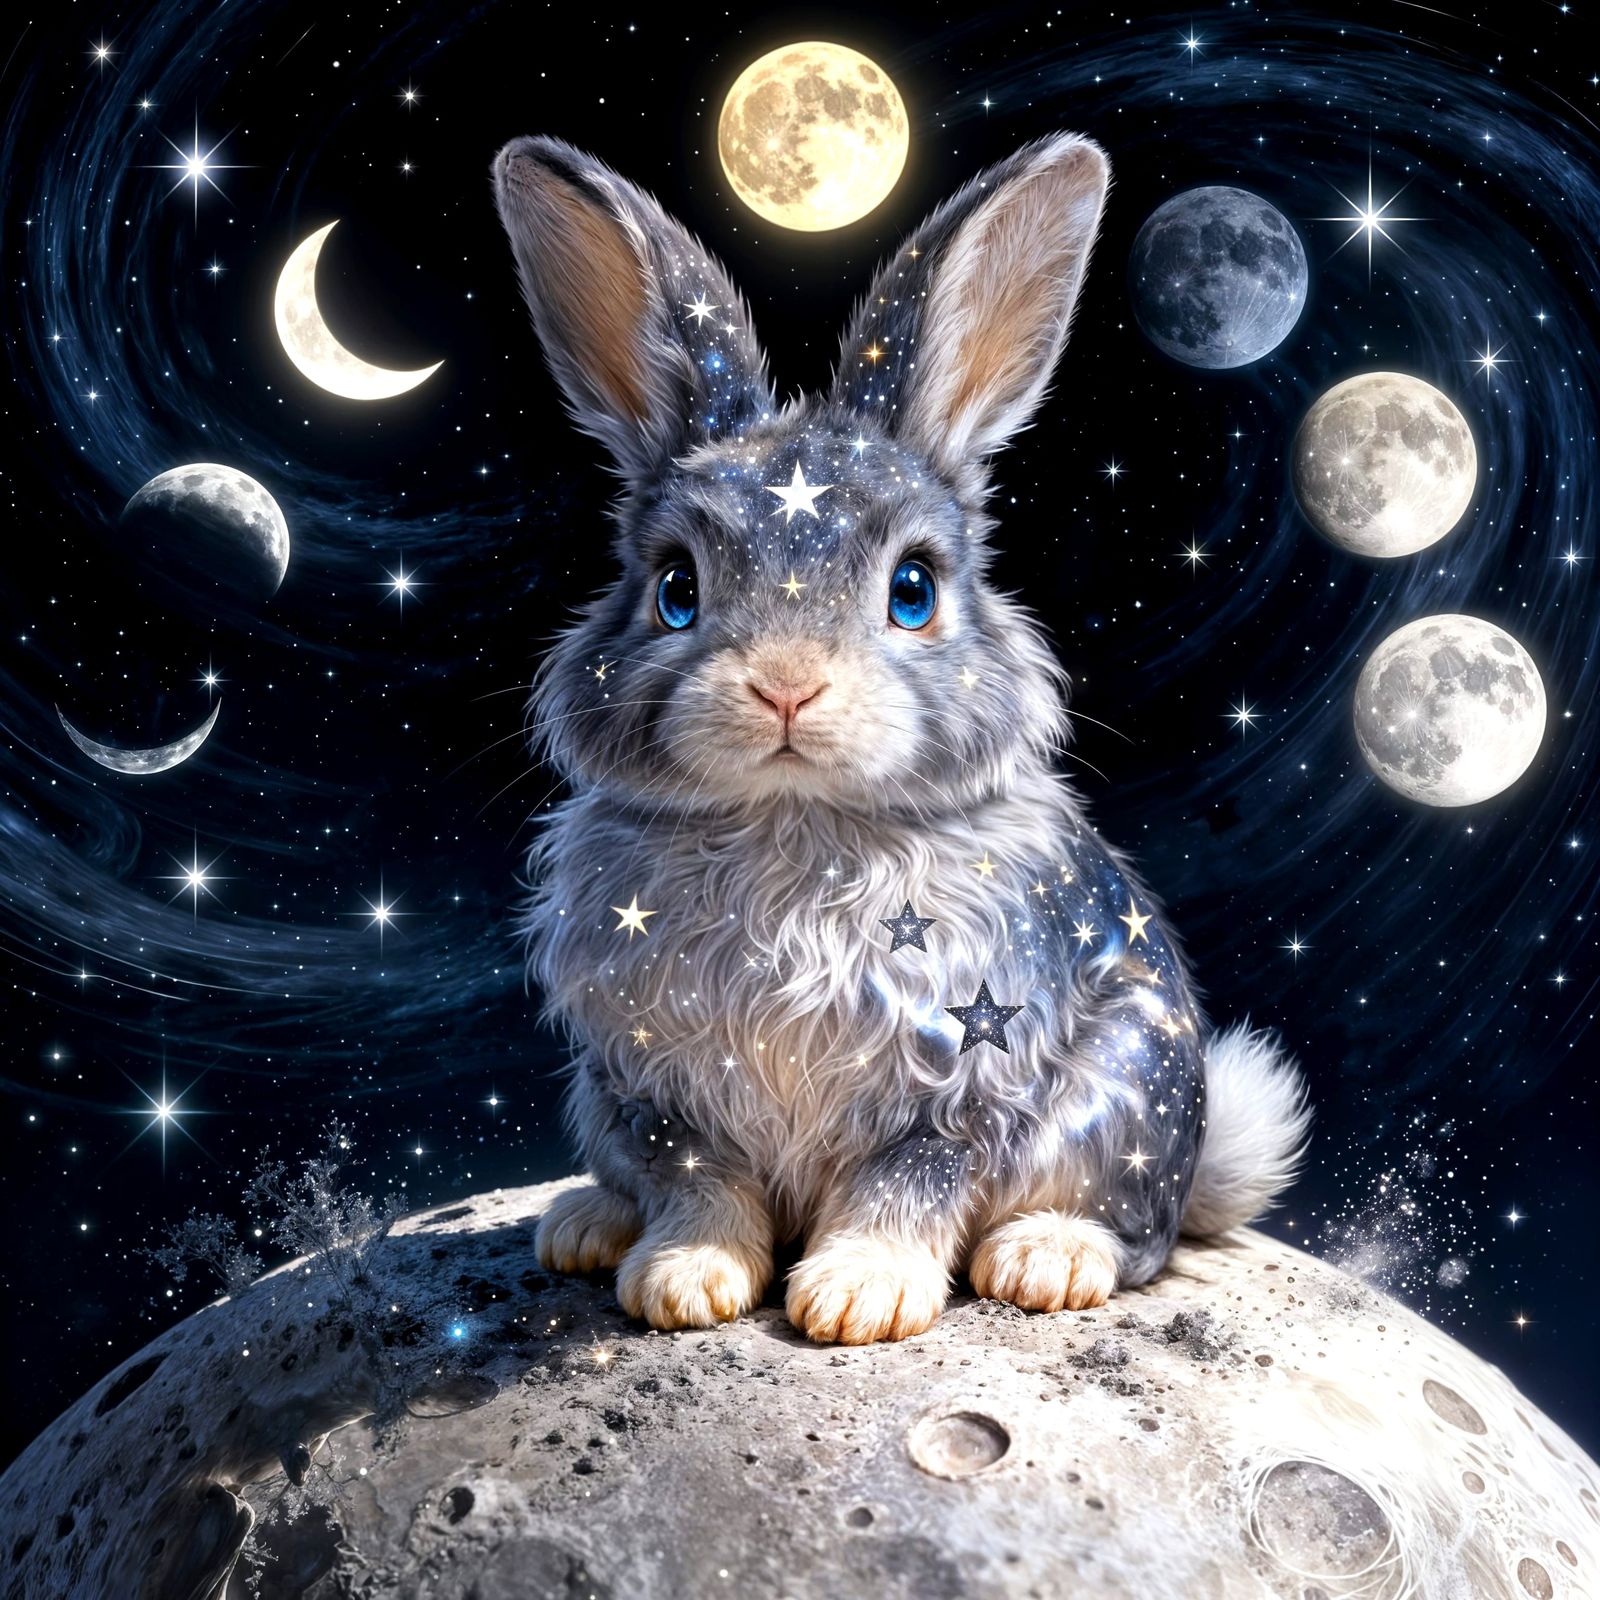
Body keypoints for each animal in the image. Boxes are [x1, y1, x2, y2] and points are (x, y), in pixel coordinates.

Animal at [492, 129, 1310, 1344]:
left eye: (912, 589)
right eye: (676, 588)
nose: (786, 687)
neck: (793, 830)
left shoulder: (967, 1069)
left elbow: (909, 1178)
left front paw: (854, 1298)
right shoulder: (647, 1084)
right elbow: (697, 1181)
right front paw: (684, 1282)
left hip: (1130, 1083)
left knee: (1136, 1231)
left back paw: (1047, 1261)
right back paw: (585, 1225)